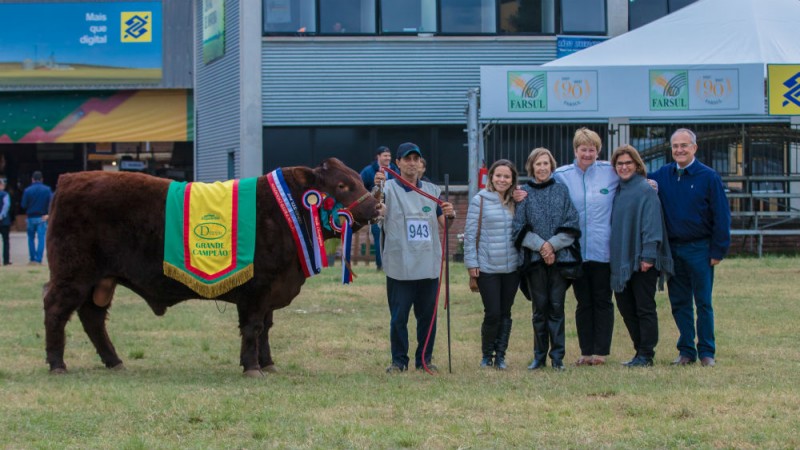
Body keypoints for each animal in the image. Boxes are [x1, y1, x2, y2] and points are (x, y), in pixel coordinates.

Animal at [42, 158, 380, 376]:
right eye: (342, 184)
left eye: (356, 178)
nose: (376, 206)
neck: (288, 211)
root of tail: (69, 179)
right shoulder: (257, 290)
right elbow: (253, 327)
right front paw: (252, 367)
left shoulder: (271, 291)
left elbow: (266, 328)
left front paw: (268, 363)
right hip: (73, 274)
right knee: (57, 311)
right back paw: (58, 364)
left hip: (101, 280)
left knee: (93, 318)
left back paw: (114, 361)